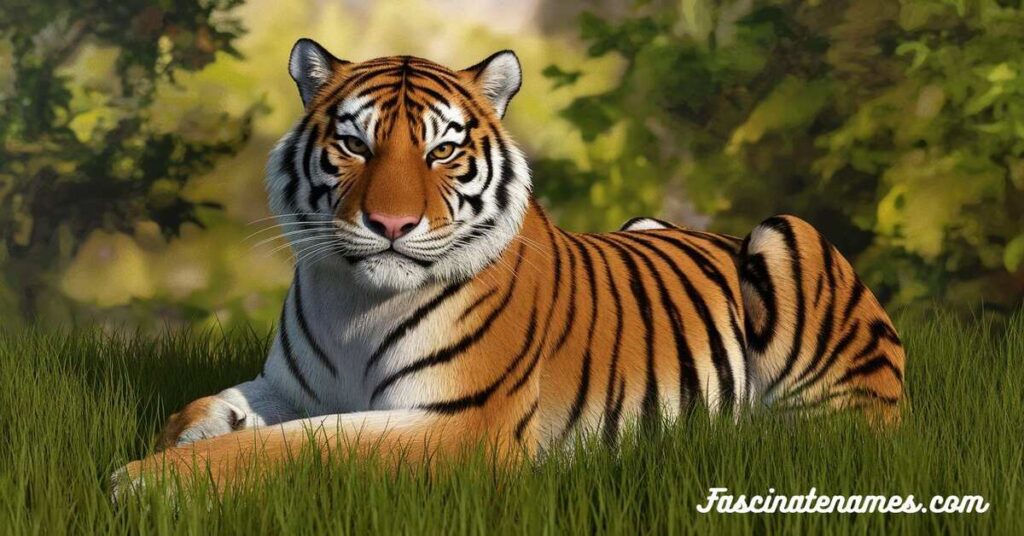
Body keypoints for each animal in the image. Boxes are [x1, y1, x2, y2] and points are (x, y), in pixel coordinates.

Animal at [113, 38, 905, 494]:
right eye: (356, 146)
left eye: (441, 151)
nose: (392, 225)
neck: (355, 306)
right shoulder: (290, 386)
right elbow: (207, 409)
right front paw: (181, 439)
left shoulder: (459, 425)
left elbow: (294, 448)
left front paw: (140, 482)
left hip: (785, 238)